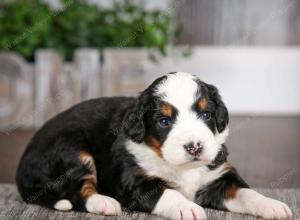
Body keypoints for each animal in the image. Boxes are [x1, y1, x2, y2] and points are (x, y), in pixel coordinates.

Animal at [15, 72, 290, 218]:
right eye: (164, 121)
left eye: (206, 115)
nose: (194, 147)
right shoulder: (134, 182)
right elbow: (167, 192)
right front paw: (187, 208)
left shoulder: (219, 177)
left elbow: (246, 192)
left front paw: (272, 205)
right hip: (73, 151)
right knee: (79, 191)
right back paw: (105, 203)